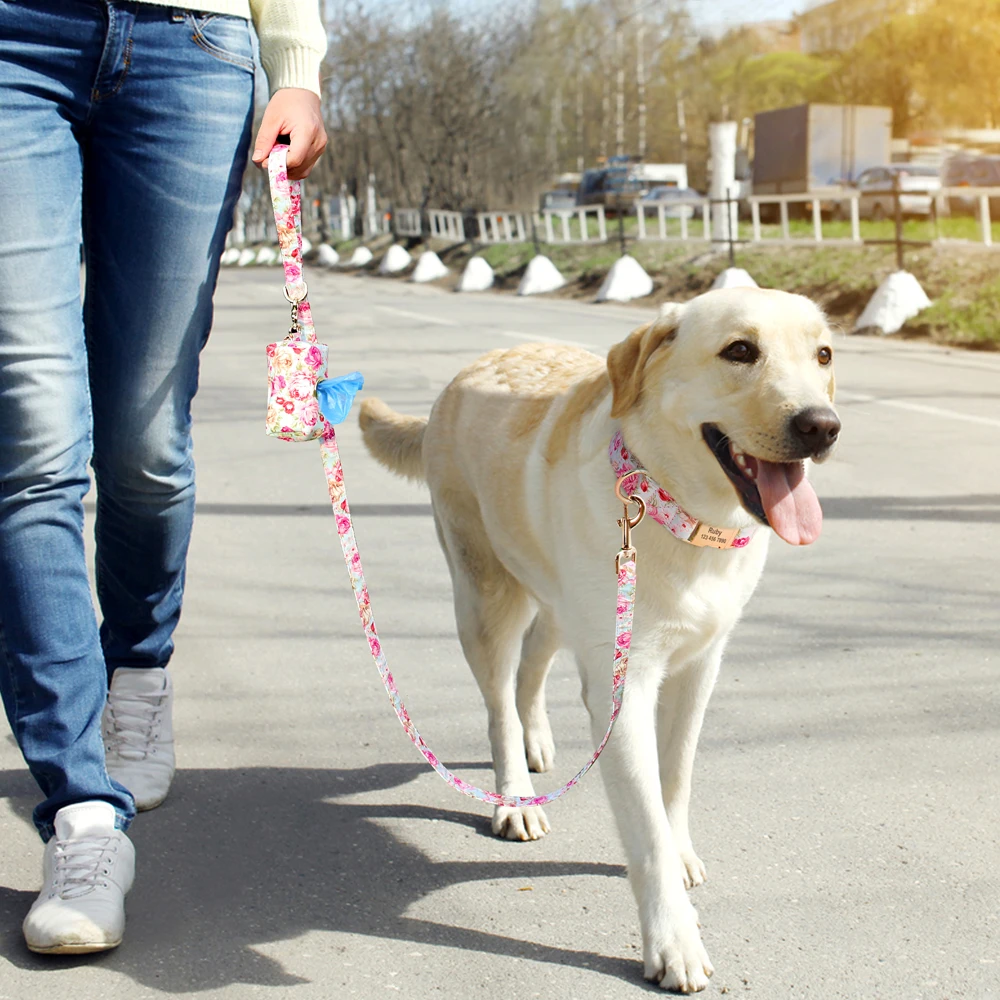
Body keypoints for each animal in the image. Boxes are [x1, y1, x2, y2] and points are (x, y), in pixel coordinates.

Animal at [356, 290, 840, 992]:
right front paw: (674, 940)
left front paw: (681, 848)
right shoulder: (625, 689)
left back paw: (536, 741)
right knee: (499, 700)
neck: (681, 517)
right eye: (740, 351)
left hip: (562, 602)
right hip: (484, 596)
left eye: (823, 354)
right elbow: (646, 827)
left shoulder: (699, 667)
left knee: (532, 664)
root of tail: (469, 370)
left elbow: (675, 780)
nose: (822, 426)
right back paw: (515, 796)